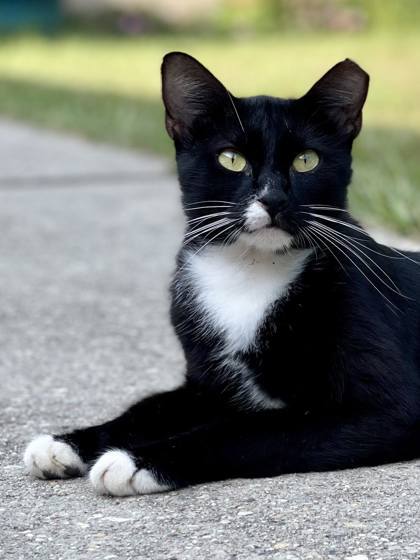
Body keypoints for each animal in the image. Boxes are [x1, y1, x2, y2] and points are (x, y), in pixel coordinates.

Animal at [23, 52, 420, 496]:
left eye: (306, 160)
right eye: (231, 158)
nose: (273, 198)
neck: (250, 271)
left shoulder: (382, 407)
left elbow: (247, 430)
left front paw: (137, 460)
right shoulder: (204, 385)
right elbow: (148, 407)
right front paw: (66, 443)